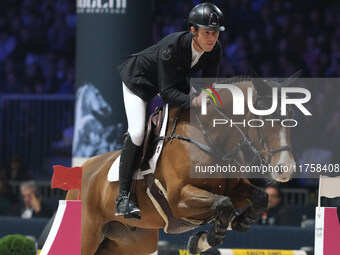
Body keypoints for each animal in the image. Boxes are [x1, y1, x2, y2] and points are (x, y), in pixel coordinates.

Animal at [65, 76, 298, 254]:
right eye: (264, 116)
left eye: (292, 116)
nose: (285, 168)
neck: (210, 139)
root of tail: (81, 171)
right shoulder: (178, 198)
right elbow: (224, 204)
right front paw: (208, 238)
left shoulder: (234, 187)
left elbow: (259, 197)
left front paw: (237, 223)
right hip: (87, 236)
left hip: (130, 242)